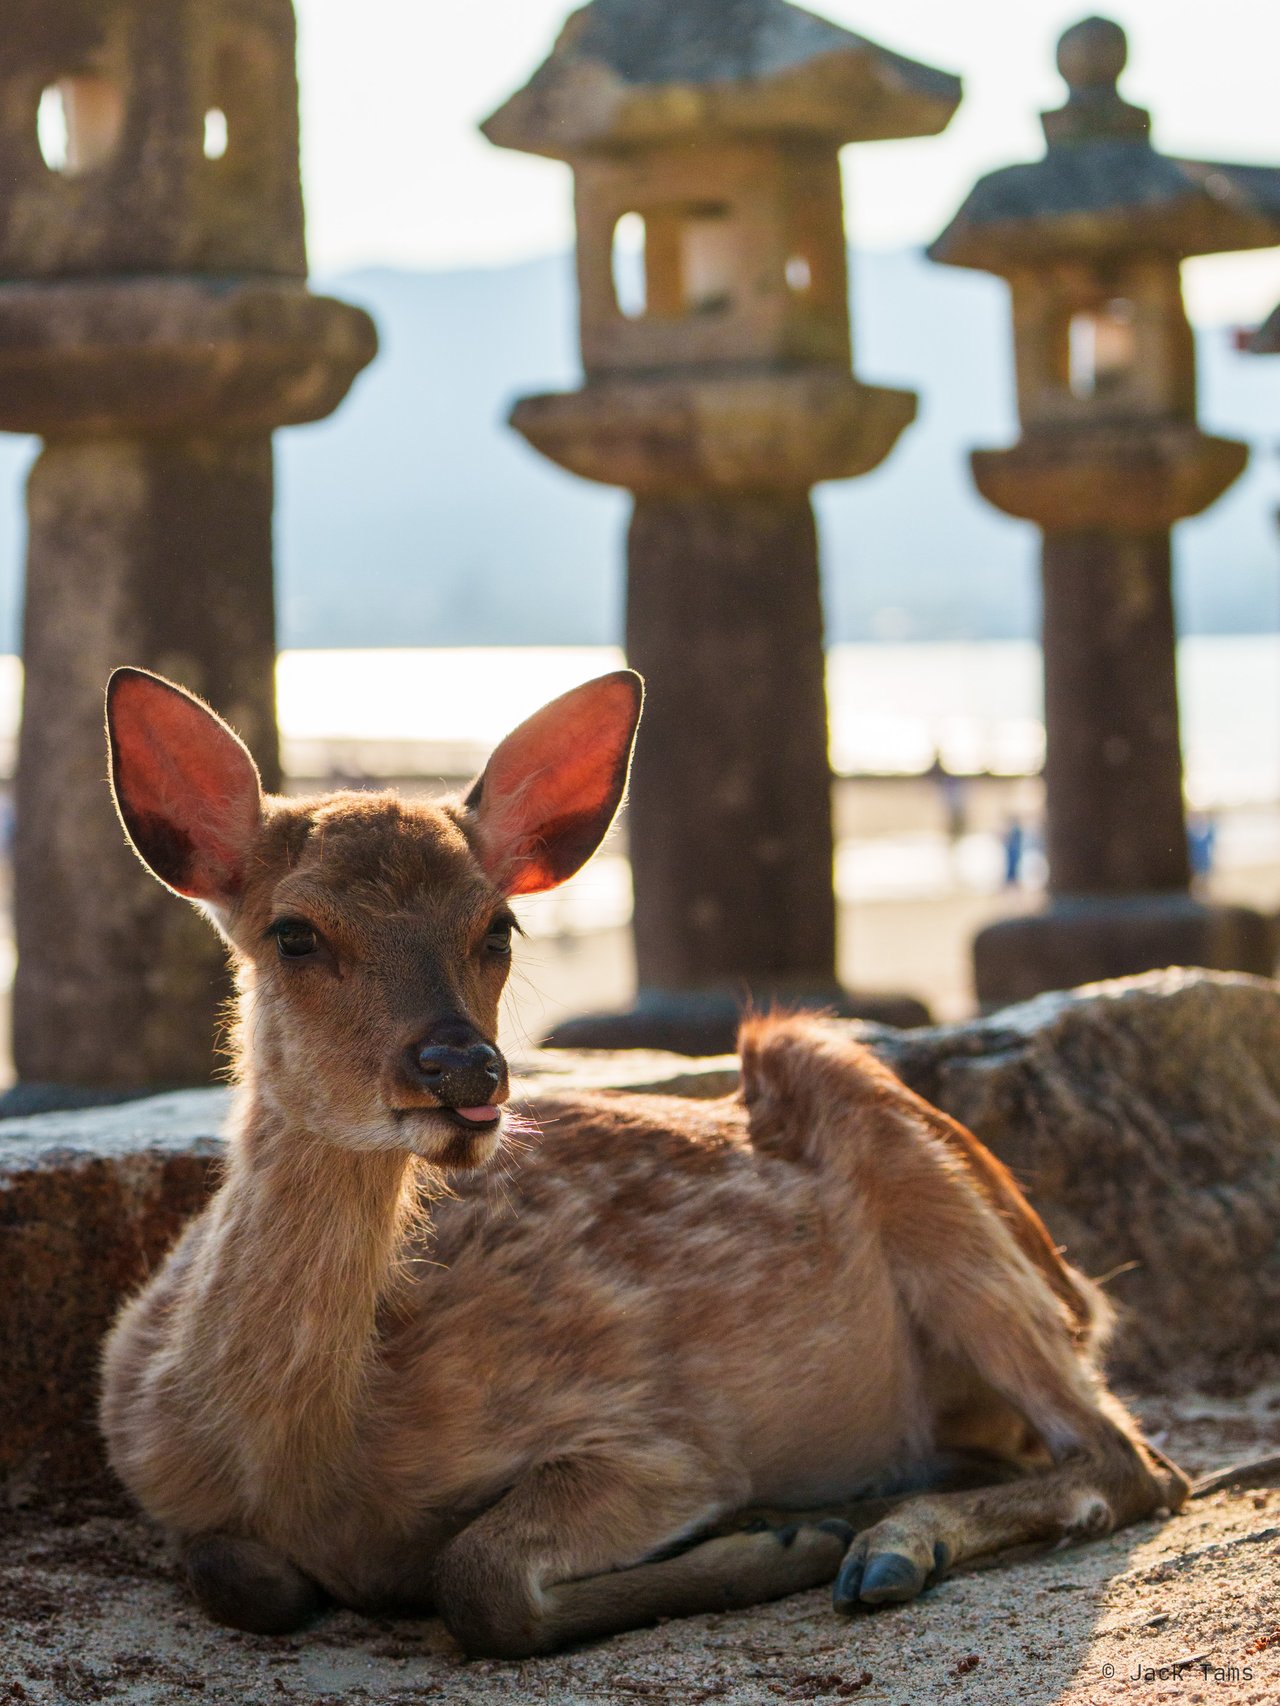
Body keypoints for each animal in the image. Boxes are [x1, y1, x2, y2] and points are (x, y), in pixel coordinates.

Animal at [99, 666, 1188, 1660]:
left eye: (497, 925)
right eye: (294, 932)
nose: (464, 1068)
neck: (307, 1462)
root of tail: (1084, 1293)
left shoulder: (655, 1437)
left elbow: (476, 1574)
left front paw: (777, 1540)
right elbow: (242, 1574)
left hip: (902, 1153)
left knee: (1131, 1459)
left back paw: (882, 1544)